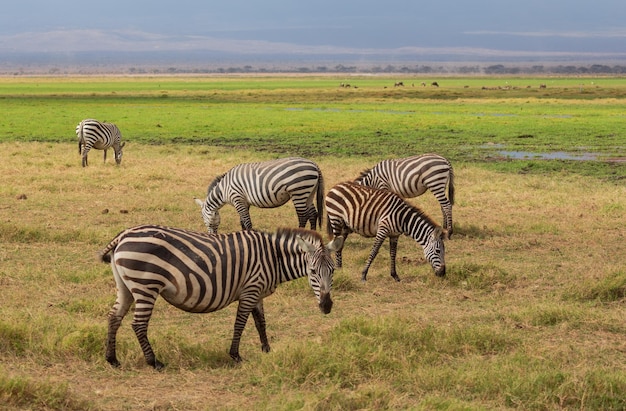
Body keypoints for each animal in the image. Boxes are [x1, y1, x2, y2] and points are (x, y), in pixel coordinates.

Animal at [98, 225, 342, 370]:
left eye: (333, 270)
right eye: (312, 272)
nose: (327, 306)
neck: (274, 258)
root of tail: (123, 235)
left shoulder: (257, 292)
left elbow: (261, 323)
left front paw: (267, 350)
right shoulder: (250, 290)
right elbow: (240, 324)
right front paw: (236, 355)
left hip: (126, 286)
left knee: (114, 317)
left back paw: (112, 359)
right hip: (146, 285)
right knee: (138, 324)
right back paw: (154, 362)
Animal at [194, 158, 322, 235]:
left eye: (201, 217)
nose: (212, 235)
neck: (223, 190)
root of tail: (314, 164)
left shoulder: (237, 198)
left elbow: (247, 222)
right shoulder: (244, 202)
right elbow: (242, 221)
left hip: (298, 191)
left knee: (303, 216)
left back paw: (300, 234)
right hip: (308, 192)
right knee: (313, 213)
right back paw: (313, 236)